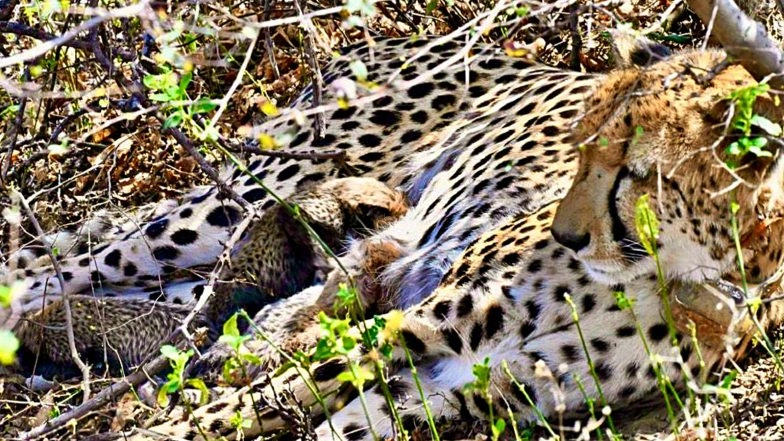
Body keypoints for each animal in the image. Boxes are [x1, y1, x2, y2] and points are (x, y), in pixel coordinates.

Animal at [115, 35, 784, 441]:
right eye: (578, 148)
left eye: (634, 171)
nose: (567, 235)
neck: (675, 276)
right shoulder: (416, 326)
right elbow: (258, 401)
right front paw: (161, 429)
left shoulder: (463, 390)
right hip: (236, 201)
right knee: (101, 251)